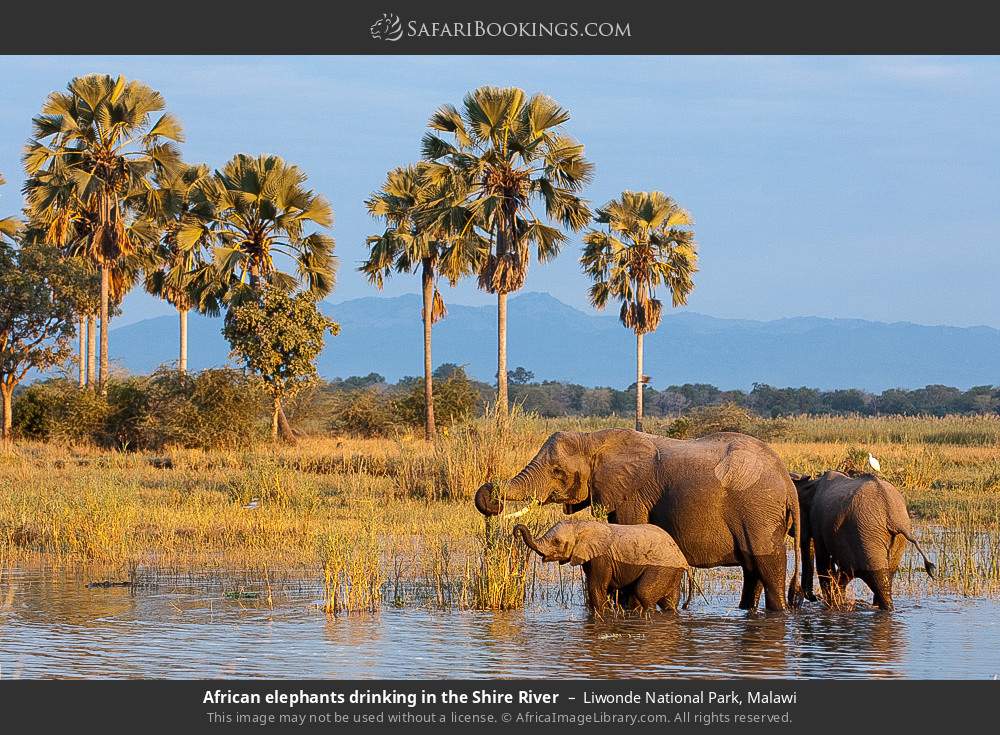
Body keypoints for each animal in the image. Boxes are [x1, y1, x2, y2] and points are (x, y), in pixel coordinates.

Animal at [514, 520, 692, 613]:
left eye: (557, 541)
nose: (516, 531)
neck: (581, 525)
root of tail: (681, 558)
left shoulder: (602, 557)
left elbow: (597, 587)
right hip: (672, 573)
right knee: (669, 602)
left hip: (661, 568)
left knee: (644, 593)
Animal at [791, 470, 936, 610]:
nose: (811, 598)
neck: (811, 484)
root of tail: (894, 518)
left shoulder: (817, 520)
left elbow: (824, 563)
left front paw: (831, 604)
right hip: (892, 540)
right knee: (882, 574)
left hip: (867, 533)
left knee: (870, 575)